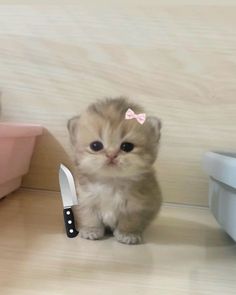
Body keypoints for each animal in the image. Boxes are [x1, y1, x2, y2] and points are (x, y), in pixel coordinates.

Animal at [67, 97, 161, 245]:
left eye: (127, 146)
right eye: (95, 146)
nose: (111, 155)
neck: (111, 182)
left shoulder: (136, 207)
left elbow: (129, 222)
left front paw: (127, 234)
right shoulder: (86, 201)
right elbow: (90, 218)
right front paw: (91, 231)